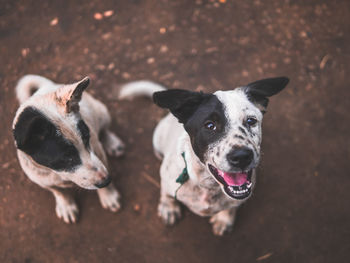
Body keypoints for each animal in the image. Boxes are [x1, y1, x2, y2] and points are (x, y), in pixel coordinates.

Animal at [13, 75, 125, 224]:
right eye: (66, 158)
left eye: (87, 139)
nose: (107, 180)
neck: (58, 173)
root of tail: (49, 85)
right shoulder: (42, 180)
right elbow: (59, 192)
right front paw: (66, 206)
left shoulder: (99, 153)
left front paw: (109, 195)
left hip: (101, 112)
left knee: (105, 128)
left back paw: (112, 143)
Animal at [120, 77, 290, 236]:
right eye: (210, 125)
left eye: (251, 121)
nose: (242, 157)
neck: (208, 186)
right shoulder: (167, 179)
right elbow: (166, 193)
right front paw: (168, 207)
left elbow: (232, 206)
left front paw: (224, 219)